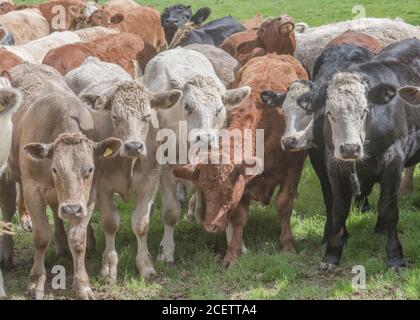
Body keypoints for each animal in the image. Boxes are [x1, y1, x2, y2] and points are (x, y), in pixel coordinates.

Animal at [0, 63, 121, 300]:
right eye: (55, 168)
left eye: (90, 169)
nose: (72, 209)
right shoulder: (32, 190)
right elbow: (40, 237)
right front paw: (35, 282)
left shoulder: (89, 196)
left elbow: (78, 239)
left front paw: (83, 285)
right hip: (9, 175)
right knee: (8, 209)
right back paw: (7, 253)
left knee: (56, 214)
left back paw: (62, 244)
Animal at [64, 56, 182, 282]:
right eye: (115, 117)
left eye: (147, 116)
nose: (134, 146)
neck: (129, 164)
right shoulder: (102, 185)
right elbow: (110, 223)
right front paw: (109, 267)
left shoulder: (150, 183)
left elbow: (141, 225)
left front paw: (145, 266)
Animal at [173, 53, 308, 266]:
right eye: (204, 189)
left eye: (228, 190)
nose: (210, 226)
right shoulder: (245, 183)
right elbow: (239, 218)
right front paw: (232, 255)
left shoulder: (294, 167)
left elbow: (284, 204)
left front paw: (287, 244)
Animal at [260, 42, 376, 244]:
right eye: (284, 111)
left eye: (308, 110)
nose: (289, 140)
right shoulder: (318, 161)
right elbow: (330, 196)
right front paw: (330, 234)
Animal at [316, 39, 420, 270]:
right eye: (329, 113)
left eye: (364, 110)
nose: (350, 148)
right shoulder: (334, 165)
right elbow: (339, 209)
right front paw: (331, 255)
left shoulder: (393, 163)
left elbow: (390, 209)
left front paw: (395, 257)